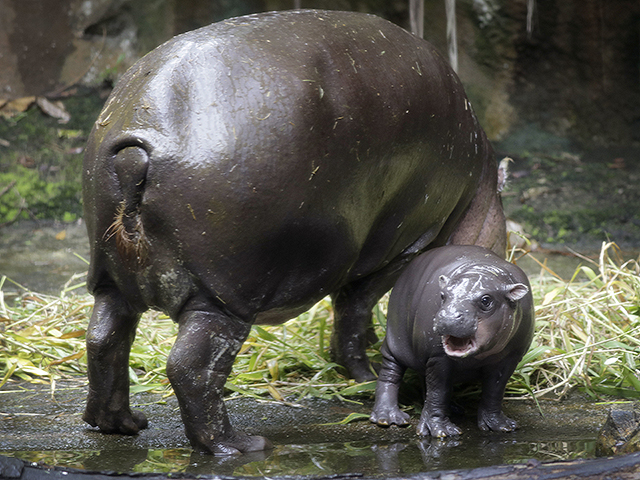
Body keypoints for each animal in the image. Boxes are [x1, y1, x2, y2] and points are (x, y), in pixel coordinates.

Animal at [82, 9, 508, 456]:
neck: (479, 193)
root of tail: (135, 151)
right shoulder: (403, 248)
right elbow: (354, 310)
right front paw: (367, 372)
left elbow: (352, 310)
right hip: (224, 297)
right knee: (191, 368)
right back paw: (240, 445)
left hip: (112, 276)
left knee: (104, 340)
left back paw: (122, 424)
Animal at [370, 246, 536, 436]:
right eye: (443, 295)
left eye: (486, 300)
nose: (448, 315)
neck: (485, 271)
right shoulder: (438, 357)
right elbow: (438, 391)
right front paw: (440, 431)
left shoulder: (510, 358)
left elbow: (495, 390)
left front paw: (501, 426)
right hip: (395, 340)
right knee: (390, 373)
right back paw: (389, 418)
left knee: (425, 381)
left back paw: (454, 409)